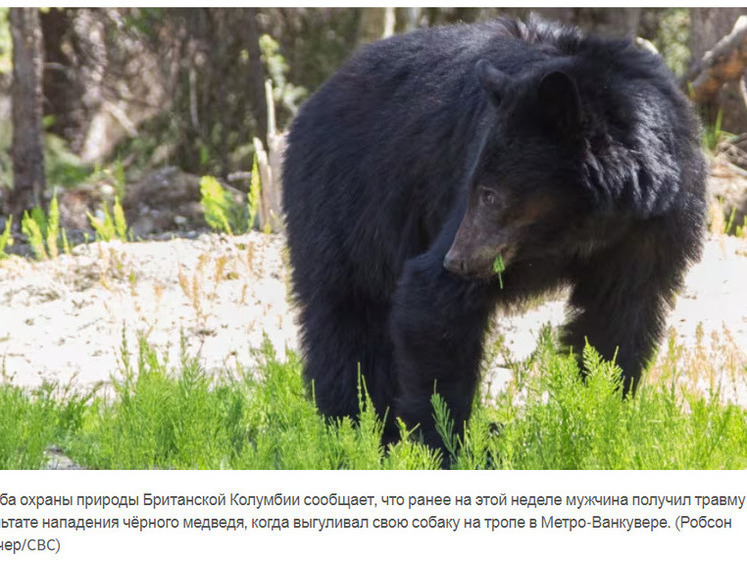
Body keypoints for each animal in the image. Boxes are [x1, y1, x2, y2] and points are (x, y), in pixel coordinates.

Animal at [280, 16, 708, 450]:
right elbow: (432, 299)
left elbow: (617, 319)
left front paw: (598, 417)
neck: (591, 222)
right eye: (475, 188)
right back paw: (351, 429)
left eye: (490, 194)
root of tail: (315, 100)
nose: (457, 260)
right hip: (346, 202)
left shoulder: (655, 227)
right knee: (346, 316)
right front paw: (445, 443)